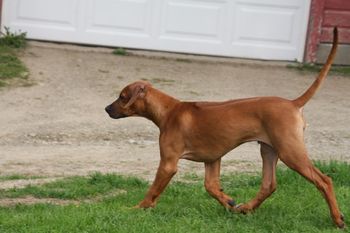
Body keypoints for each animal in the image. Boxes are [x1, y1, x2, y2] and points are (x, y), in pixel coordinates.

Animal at [104, 27, 344, 228]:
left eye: (122, 97)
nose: (106, 109)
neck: (169, 110)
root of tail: (293, 103)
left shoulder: (168, 164)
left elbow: (153, 190)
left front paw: (137, 208)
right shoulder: (212, 159)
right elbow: (210, 186)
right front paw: (229, 202)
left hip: (290, 151)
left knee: (324, 180)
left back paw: (337, 219)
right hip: (268, 149)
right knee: (269, 184)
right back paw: (246, 208)